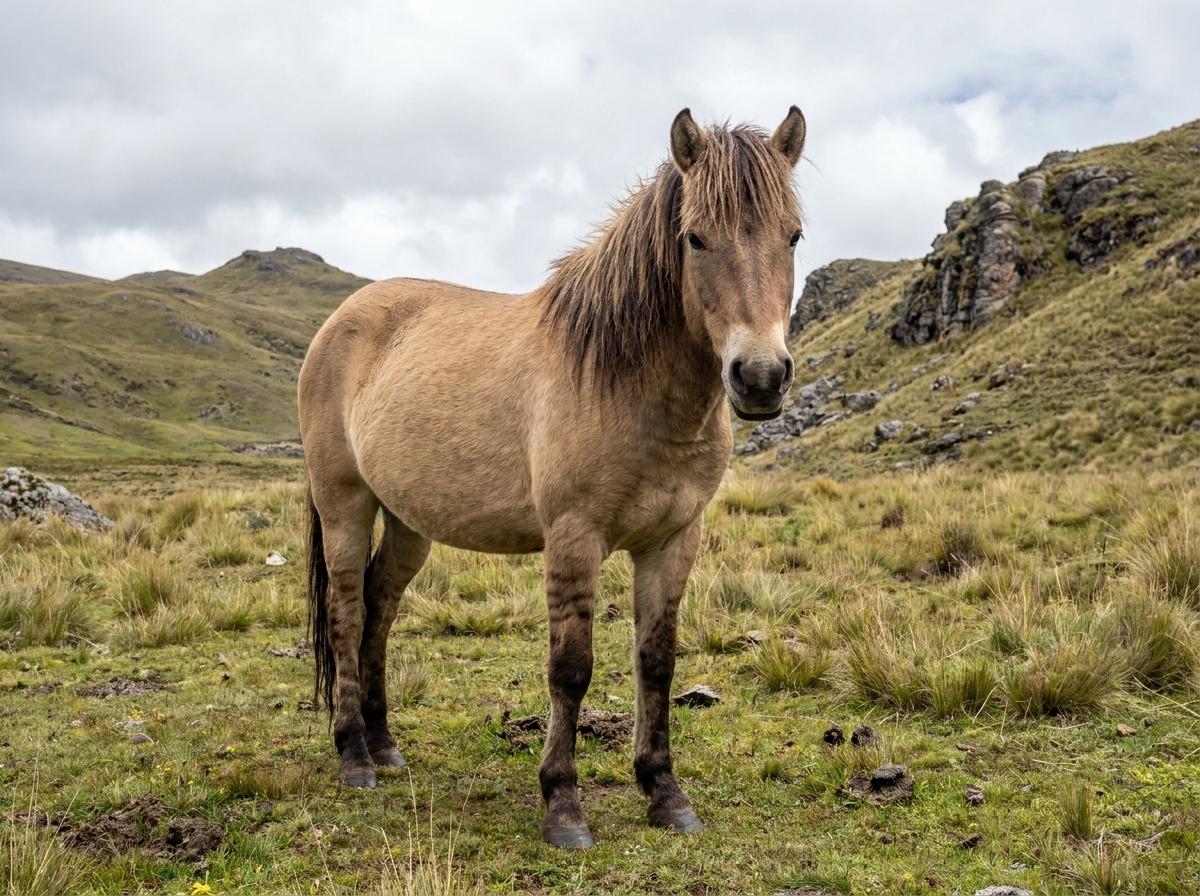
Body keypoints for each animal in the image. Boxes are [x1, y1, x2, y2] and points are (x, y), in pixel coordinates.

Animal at [299, 106, 806, 848]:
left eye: (793, 236)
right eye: (694, 238)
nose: (761, 377)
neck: (623, 379)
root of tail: (339, 320)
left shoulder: (674, 540)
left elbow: (657, 661)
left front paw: (665, 793)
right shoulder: (573, 537)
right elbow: (571, 669)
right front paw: (562, 804)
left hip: (409, 522)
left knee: (380, 606)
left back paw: (385, 743)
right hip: (344, 504)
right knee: (344, 611)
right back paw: (353, 756)